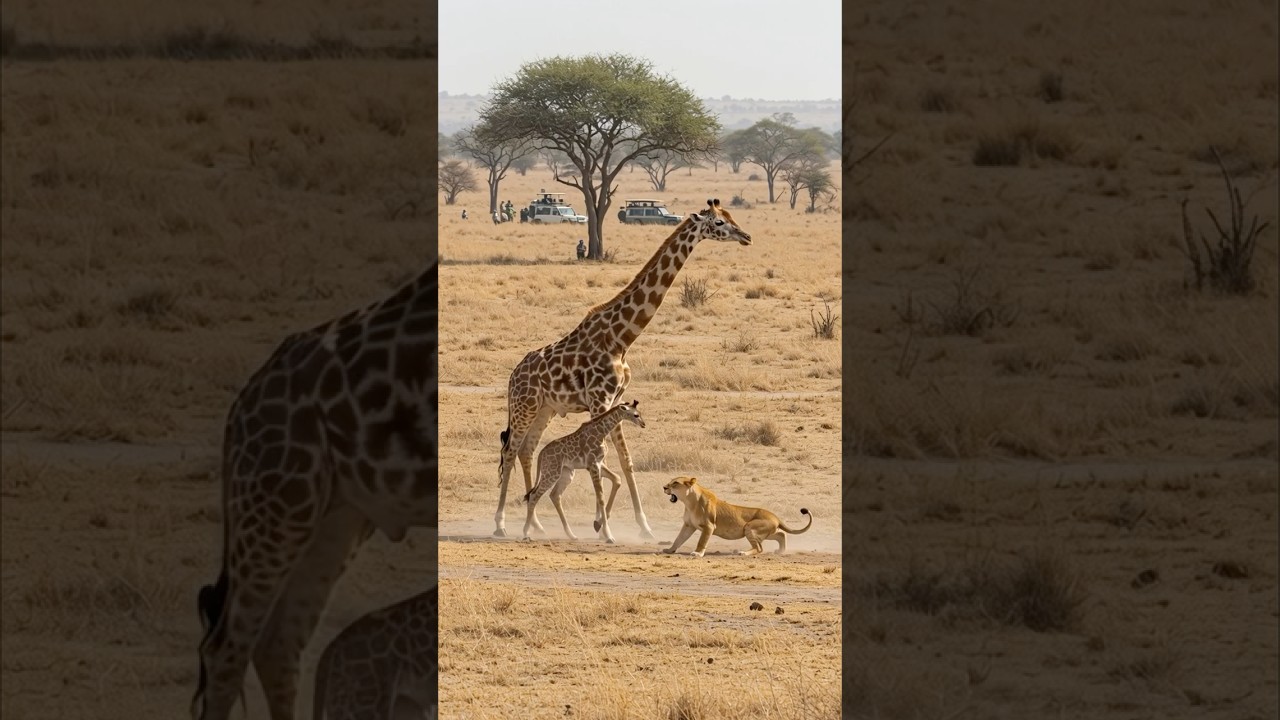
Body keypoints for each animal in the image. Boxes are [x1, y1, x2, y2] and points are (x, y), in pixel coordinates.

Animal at [521, 399, 646, 542]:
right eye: (636, 415)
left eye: (639, 413)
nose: (643, 424)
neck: (601, 432)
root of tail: (541, 454)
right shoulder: (593, 465)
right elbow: (601, 498)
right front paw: (608, 535)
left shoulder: (597, 464)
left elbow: (617, 479)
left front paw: (598, 524)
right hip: (552, 472)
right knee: (534, 495)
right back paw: (526, 532)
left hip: (566, 473)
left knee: (554, 495)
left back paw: (571, 535)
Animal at [660, 476, 812, 557]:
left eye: (675, 483)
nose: (664, 487)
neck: (689, 502)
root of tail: (775, 516)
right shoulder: (689, 525)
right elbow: (678, 539)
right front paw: (669, 550)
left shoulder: (709, 526)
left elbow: (701, 541)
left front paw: (697, 553)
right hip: (764, 532)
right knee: (781, 534)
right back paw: (780, 551)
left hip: (750, 527)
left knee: (760, 548)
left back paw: (742, 552)